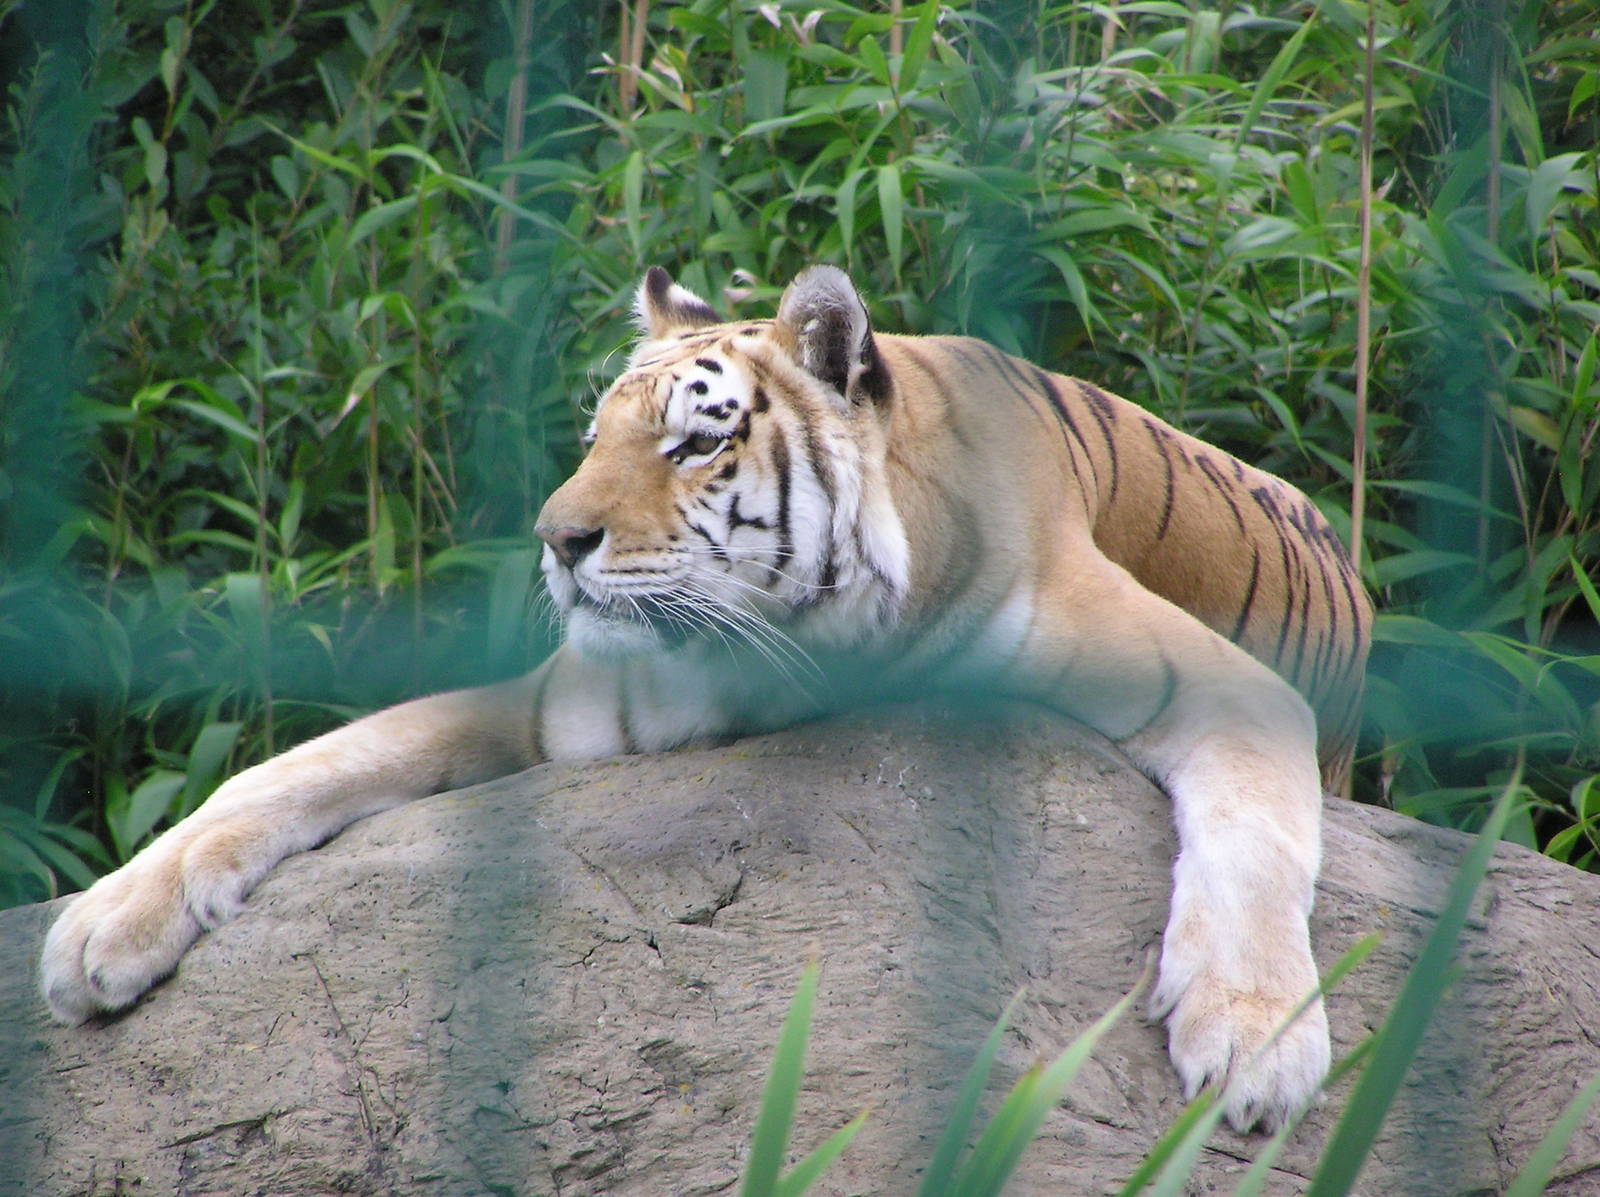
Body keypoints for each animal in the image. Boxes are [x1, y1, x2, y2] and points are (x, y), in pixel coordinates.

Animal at [40, 264, 1371, 1135]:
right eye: (592, 439)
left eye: (692, 444)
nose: (555, 541)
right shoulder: (560, 705)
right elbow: (297, 767)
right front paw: (101, 929)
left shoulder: (1215, 683)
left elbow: (1256, 836)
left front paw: (1254, 1043)